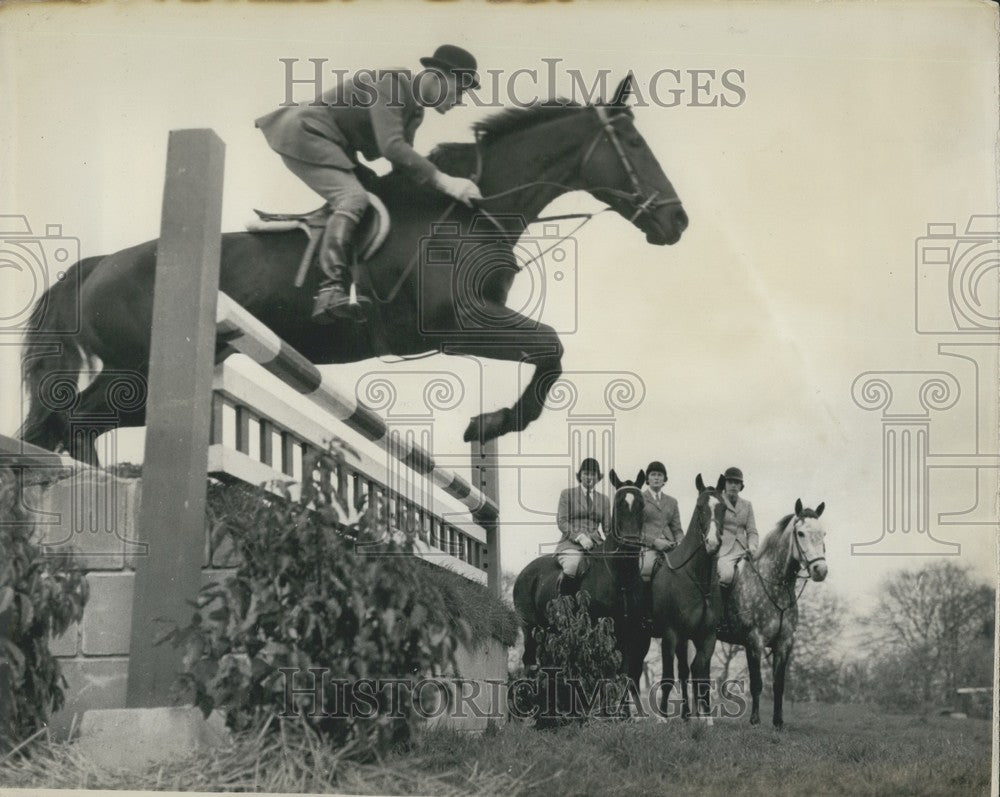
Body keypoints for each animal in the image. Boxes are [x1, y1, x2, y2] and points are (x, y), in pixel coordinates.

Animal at [17, 77, 688, 464]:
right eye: (634, 145)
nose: (677, 222)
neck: (471, 210)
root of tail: (98, 266)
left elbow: (549, 353)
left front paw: (488, 424)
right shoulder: (454, 325)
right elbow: (550, 348)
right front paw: (490, 423)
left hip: (155, 373)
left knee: (62, 426)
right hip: (140, 369)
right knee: (73, 424)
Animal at [516, 470, 648, 688]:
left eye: (642, 504)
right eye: (618, 504)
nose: (631, 544)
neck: (621, 577)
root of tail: (525, 572)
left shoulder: (629, 634)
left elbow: (626, 678)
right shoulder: (599, 633)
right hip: (531, 629)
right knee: (530, 665)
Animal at [648, 472, 728, 720]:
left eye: (723, 508)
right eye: (700, 507)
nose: (713, 543)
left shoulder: (707, 635)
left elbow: (700, 671)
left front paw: (706, 717)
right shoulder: (670, 633)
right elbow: (667, 675)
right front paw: (662, 718)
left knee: (685, 670)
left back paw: (685, 714)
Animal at [720, 498, 828, 728]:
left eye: (823, 534)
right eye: (800, 533)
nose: (820, 571)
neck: (772, 584)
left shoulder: (784, 643)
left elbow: (779, 685)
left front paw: (778, 722)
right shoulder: (754, 642)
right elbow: (757, 683)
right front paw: (755, 720)